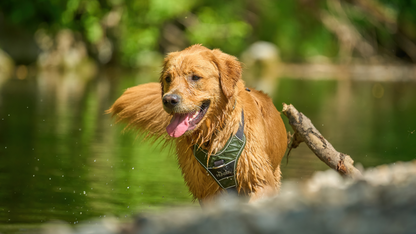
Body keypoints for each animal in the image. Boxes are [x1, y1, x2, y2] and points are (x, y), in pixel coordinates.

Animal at [109, 45, 288, 203]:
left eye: (195, 77)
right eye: (168, 78)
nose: (169, 100)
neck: (214, 134)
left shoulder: (260, 181)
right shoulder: (205, 191)